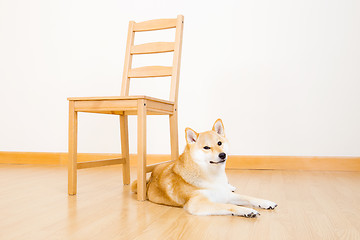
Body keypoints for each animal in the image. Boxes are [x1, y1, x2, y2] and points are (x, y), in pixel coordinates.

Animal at [132, 119, 278, 218]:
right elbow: (230, 206)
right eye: (206, 147)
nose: (222, 155)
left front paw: (265, 202)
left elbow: (248, 197)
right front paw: (247, 211)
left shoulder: (225, 194)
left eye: (219, 143)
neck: (212, 176)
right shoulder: (197, 204)